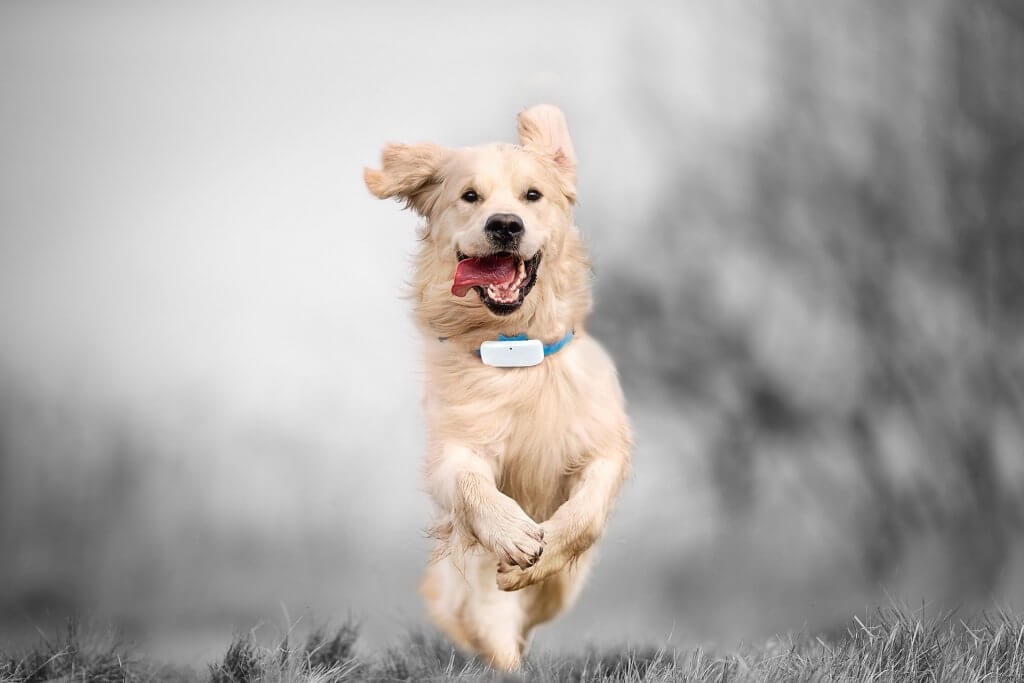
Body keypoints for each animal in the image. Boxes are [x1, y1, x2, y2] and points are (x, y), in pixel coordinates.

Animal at [364, 104, 626, 671]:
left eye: (533, 195)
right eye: (470, 196)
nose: (504, 224)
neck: (515, 351)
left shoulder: (605, 445)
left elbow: (586, 514)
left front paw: (540, 554)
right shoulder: (454, 447)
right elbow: (470, 484)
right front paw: (512, 534)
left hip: (562, 592)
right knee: (487, 620)